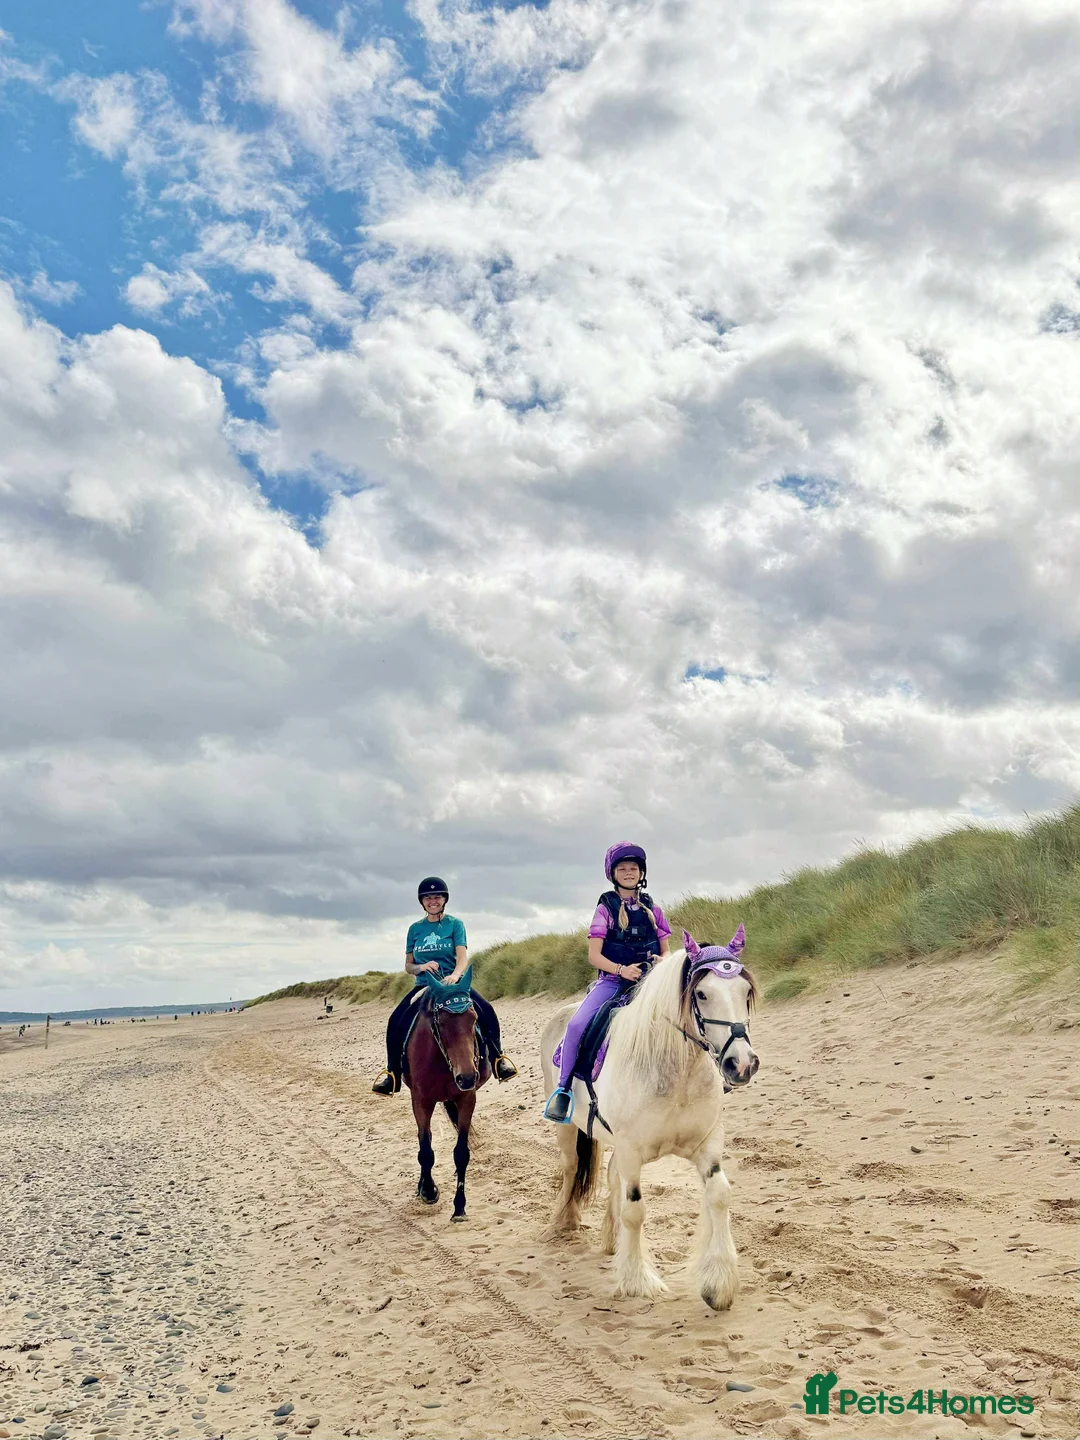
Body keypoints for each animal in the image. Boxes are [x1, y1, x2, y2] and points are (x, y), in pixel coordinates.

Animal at [403, 987, 491, 1222]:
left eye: (474, 1019)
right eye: (441, 1023)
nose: (467, 1077)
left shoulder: (467, 1098)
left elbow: (461, 1153)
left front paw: (459, 1207)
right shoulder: (421, 1100)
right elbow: (425, 1149)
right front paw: (428, 1191)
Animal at [540, 927, 759, 1309]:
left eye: (745, 991)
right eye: (701, 993)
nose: (742, 1064)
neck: (676, 1071)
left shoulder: (706, 1145)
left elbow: (719, 1195)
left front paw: (718, 1284)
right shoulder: (631, 1151)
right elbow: (635, 1210)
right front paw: (637, 1279)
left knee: (610, 1176)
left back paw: (612, 1240)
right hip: (566, 1128)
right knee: (570, 1167)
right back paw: (563, 1222)